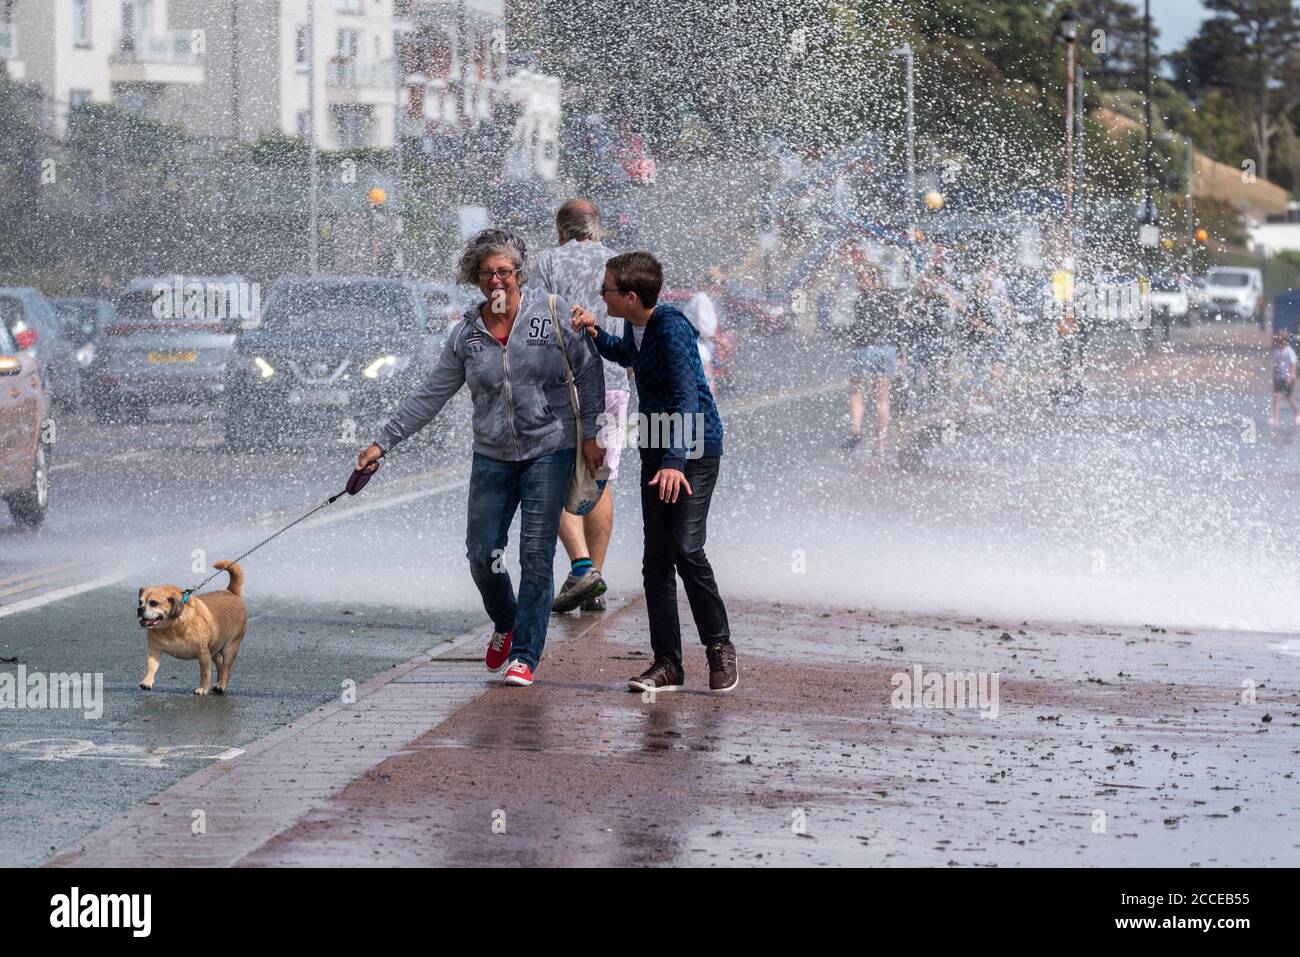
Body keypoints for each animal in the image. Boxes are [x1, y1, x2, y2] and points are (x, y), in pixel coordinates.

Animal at [137, 561, 248, 696]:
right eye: (140, 602)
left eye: (153, 603)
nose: (140, 609)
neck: (172, 626)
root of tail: (231, 592)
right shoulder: (154, 651)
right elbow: (151, 667)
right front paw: (147, 681)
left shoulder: (203, 654)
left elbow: (205, 674)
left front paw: (203, 688)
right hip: (214, 649)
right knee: (220, 665)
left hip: (230, 648)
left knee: (226, 668)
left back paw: (221, 686)